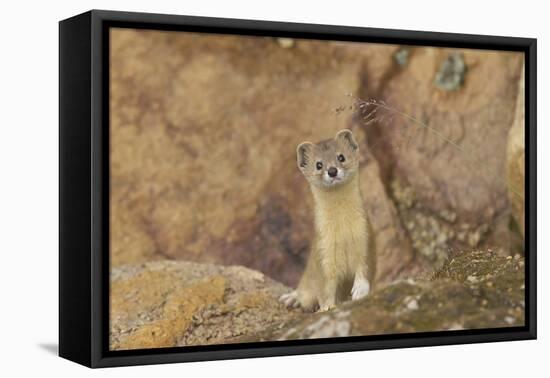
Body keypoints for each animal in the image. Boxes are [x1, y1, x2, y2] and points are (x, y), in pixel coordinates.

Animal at [282, 128, 378, 312]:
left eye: (341, 157)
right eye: (318, 165)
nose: (332, 170)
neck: (343, 232)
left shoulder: (365, 236)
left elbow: (365, 267)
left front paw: (359, 290)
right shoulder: (323, 251)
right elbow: (325, 287)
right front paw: (327, 307)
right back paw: (292, 298)